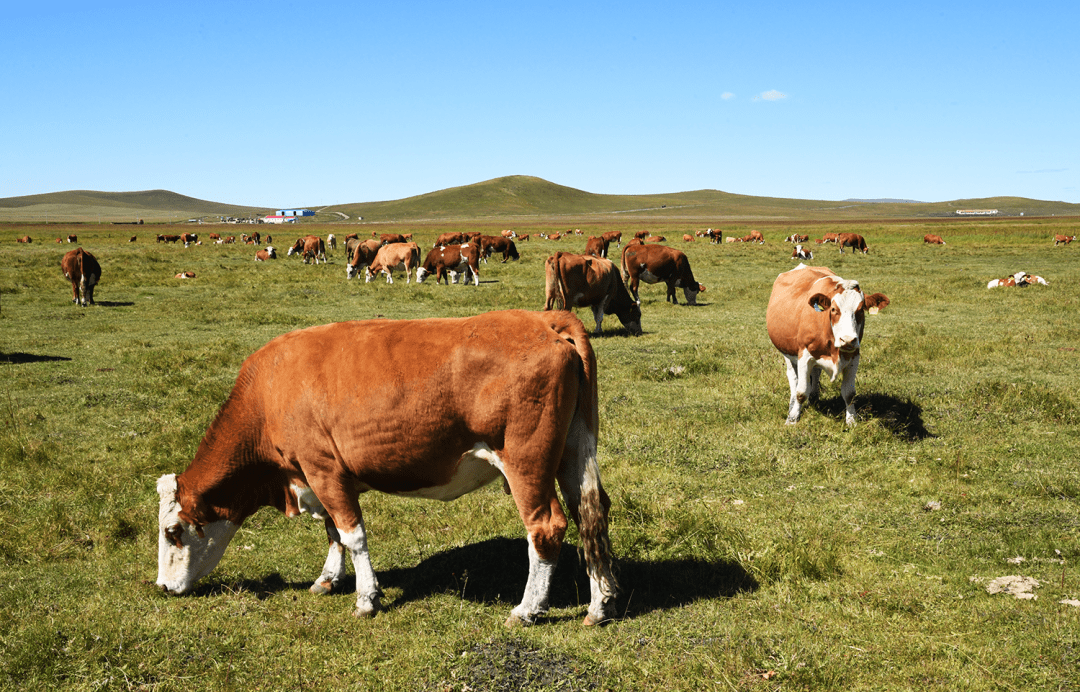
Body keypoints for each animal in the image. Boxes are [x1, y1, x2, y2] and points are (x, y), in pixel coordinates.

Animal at [156, 310, 622, 626]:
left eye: (172, 531)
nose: (161, 587)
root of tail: (543, 319)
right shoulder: (319, 478)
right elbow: (333, 532)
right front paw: (328, 579)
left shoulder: (323, 468)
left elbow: (352, 534)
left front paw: (367, 598)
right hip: (574, 452)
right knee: (590, 515)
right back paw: (599, 604)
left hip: (527, 462)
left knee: (546, 527)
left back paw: (527, 609)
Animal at [768, 264, 894, 427]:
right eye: (833, 309)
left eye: (860, 310)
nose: (847, 340)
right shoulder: (804, 356)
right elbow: (801, 392)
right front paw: (793, 418)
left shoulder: (854, 356)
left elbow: (849, 393)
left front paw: (851, 420)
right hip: (787, 352)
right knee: (793, 378)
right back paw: (792, 405)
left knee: (815, 373)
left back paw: (814, 399)